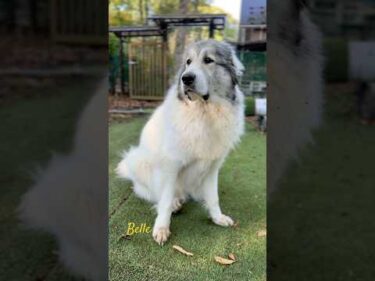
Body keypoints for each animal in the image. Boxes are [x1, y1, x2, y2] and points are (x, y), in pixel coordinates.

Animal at [117, 40, 247, 245]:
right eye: (188, 62)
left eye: (208, 60)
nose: (186, 79)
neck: (204, 112)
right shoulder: (171, 165)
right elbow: (165, 199)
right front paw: (161, 228)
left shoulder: (212, 167)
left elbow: (214, 197)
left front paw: (217, 217)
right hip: (138, 160)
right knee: (156, 194)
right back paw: (175, 203)